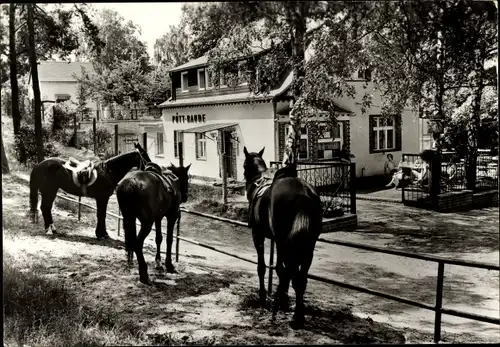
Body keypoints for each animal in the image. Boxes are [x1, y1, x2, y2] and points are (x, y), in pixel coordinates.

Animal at [243, 147, 322, 328]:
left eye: (244, 166)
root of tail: (304, 193)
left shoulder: (257, 235)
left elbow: (262, 267)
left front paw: (263, 296)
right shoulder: (277, 240)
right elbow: (280, 269)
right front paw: (282, 298)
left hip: (288, 243)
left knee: (294, 275)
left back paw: (294, 314)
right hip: (307, 245)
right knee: (300, 278)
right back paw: (296, 313)